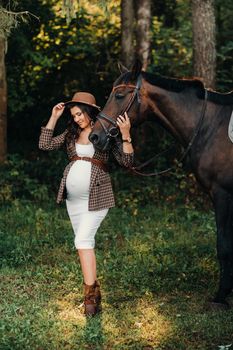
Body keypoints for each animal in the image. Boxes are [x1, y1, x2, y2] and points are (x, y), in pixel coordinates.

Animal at [88, 61, 233, 308]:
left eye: (119, 95)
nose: (95, 136)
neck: (212, 127)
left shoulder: (223, 193)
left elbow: (224, 244)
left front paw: (222, 296)